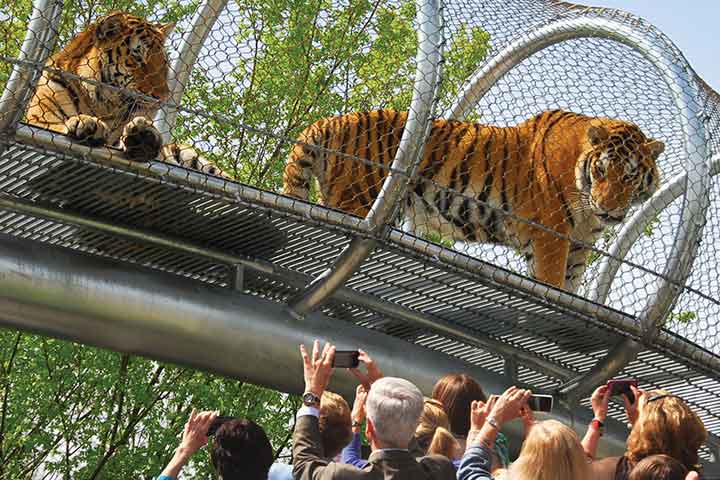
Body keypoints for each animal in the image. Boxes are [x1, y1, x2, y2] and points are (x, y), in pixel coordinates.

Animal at [25, 11, 228, 178]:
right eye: (138, 57)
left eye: (163, 62)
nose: (163, 97)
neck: (100, 104)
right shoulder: (38, 120)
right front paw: (87, 122)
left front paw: (145, 136)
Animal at [282, 109, 664, 292]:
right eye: (601, 170)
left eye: (629, 176)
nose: (610, 209)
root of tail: (331, 121)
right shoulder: (551, 236)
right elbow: (551, 282)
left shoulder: (580, 246)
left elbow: (569, 289)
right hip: (355, 201)